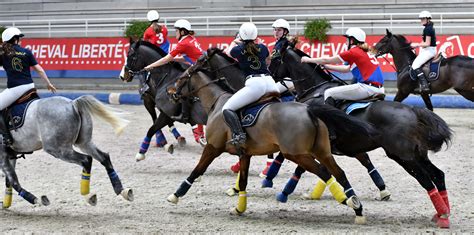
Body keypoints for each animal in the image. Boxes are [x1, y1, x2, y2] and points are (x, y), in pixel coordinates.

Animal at [1, 94, 133, 208]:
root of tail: (72, 103)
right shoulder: (10, 156)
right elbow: (9, 181)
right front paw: (6, 204)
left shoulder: (2, 157)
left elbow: (13, 181)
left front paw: (35, 199)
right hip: (84, 143)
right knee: (104, 157)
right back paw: (121, 190)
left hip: (58, 149)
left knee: (86, 159)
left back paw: (87, 195)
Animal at [165, 56, 384, 225]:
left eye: (181, 78)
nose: (170, 92)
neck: (217, 103)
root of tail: (308, 109)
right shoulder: (245, 154)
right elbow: (242, 181)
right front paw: (240, 207)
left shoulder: (212, 147)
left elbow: (197, 170)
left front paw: (176, 195)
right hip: (322, 151)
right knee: (339, 173)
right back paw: (357, 207)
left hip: (297, 154)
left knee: (325, 172)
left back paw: (346, 200)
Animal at [268, 39, 454, 229]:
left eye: (274, 57)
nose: (268, 74)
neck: (315, 91)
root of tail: (413, 111)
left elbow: (300, 166)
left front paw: (281, 190)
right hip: (416, 154)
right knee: (438, 175)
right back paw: (442, 214)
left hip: (405, 156)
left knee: (426, 180)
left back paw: (443, 215)